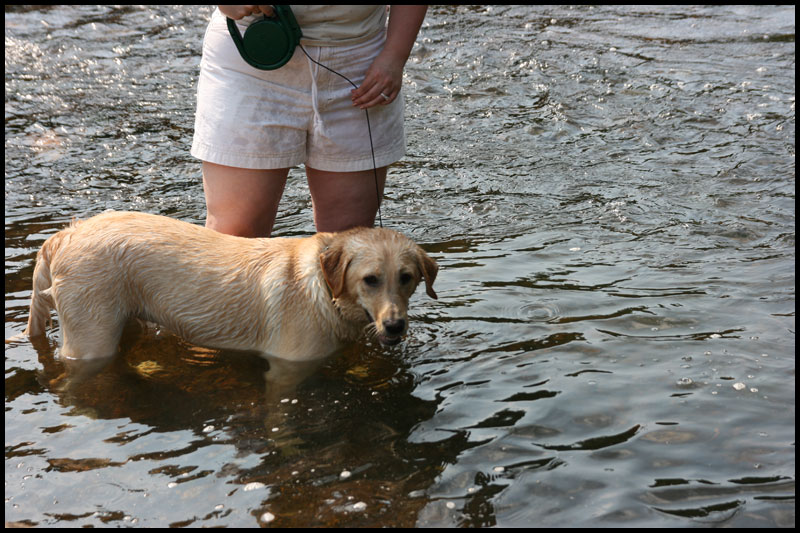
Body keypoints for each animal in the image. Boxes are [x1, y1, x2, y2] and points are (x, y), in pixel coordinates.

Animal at [25, 212, 438, 362]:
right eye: (370, 279)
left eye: (407, 278)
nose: (395, 325)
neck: (322, 289)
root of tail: (65, 234)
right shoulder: (288, 367)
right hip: (90, 341)